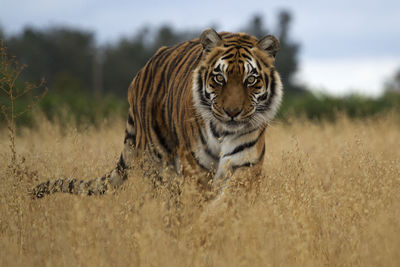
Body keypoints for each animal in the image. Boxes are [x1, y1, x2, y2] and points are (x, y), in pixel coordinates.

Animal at [32, 28, 282, 199]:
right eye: (220, 78)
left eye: (251, 80)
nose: (232, 112)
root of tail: (141, 72)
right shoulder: (196, 169)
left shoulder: (245, 166)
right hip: (157, 162)